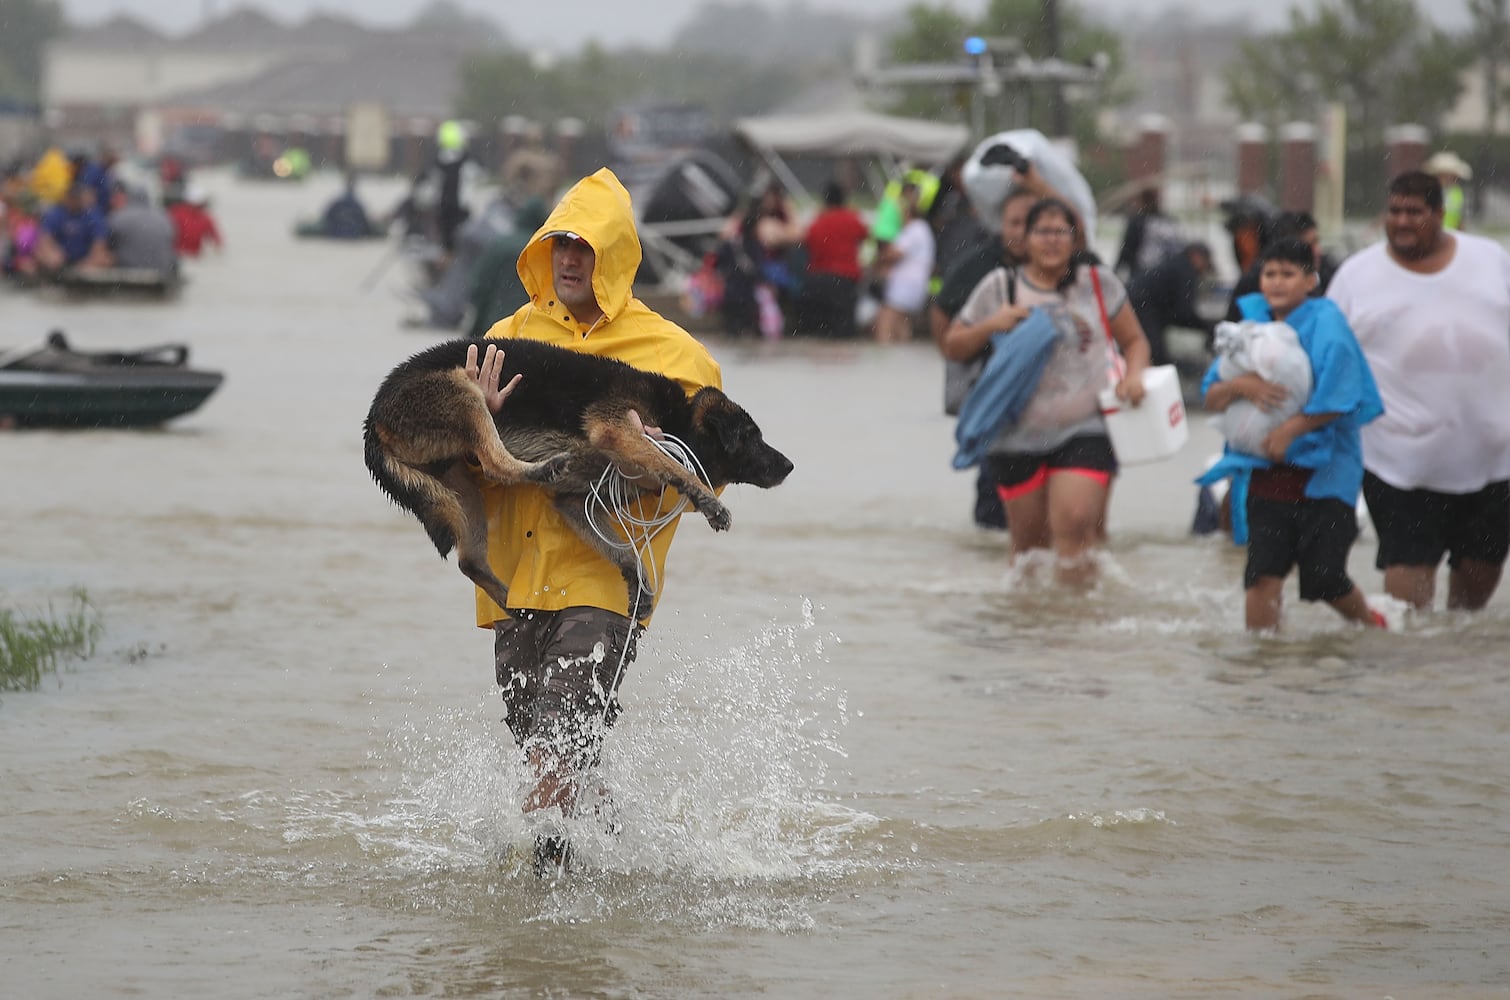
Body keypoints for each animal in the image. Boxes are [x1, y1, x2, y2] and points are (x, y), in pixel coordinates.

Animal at [363, 338, 797, 610]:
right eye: (753, 437)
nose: (791, 466)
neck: (680, 420)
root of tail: (374, 414)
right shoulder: (620, 429)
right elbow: (675, 465)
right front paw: (708, 502)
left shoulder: (576, 502)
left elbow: (621, 550)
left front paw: (638, 584)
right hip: (466, 393)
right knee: (495, 462)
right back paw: (542, 467)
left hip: (460, 486)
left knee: (469, 560)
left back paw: (510, 600)